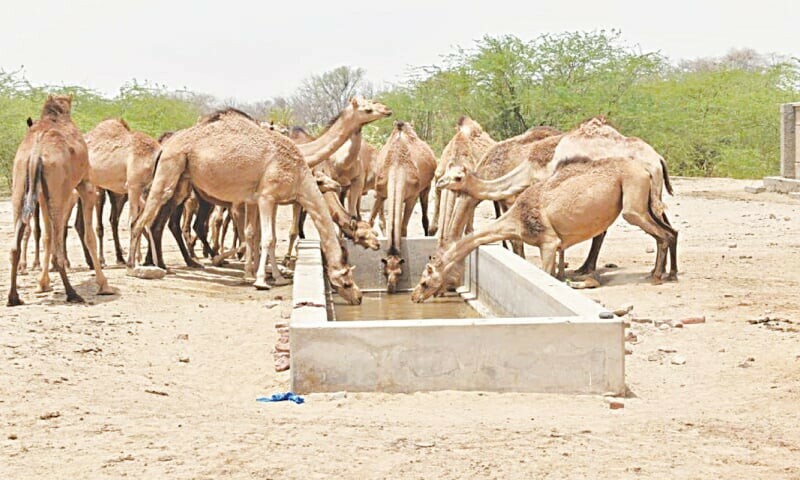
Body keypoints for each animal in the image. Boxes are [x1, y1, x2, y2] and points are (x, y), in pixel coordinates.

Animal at [7, 95, 113, 306]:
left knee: (16, 246)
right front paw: (104, 285)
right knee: (58, 246)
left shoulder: (42, 195)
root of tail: (35, 154)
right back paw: (72, 293)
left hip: (21, 185)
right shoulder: (86, 185)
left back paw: (14, 297)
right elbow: (89, 236)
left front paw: (43, 284)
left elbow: (47, 237)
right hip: (57, 190)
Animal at [128, 108, 390, 304]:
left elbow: (259, 235)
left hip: (182, 182)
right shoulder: (264, 197)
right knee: (143, 220)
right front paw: (259, 278)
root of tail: (165, 145)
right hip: (172, 172)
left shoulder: (262, 199)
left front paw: (274, 275)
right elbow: (266, 237)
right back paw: (137, 266)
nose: (358, 297)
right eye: (346, 280)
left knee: (158, 222)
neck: (301, 168)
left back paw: (163, 263)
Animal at [370, 122, 438, 290]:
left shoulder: (411, 197)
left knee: (424, 216)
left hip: (426, 187)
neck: (396, 167)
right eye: (385, 271)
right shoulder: (379, 192)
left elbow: (403, 228)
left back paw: (428, 234)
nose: (391, 287)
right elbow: (370, 220)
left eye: (400, 272)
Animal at [410, 156, 680, 302]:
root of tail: (647, 168)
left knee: (662, 233)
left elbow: (547, 272)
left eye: (425, 281)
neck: (516, 219)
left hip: (633, 203)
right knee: (671, 231)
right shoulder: (556, 241)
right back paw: (669, 274)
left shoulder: (548, 242)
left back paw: (657, 276)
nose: (414, 296)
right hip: (645, 202)